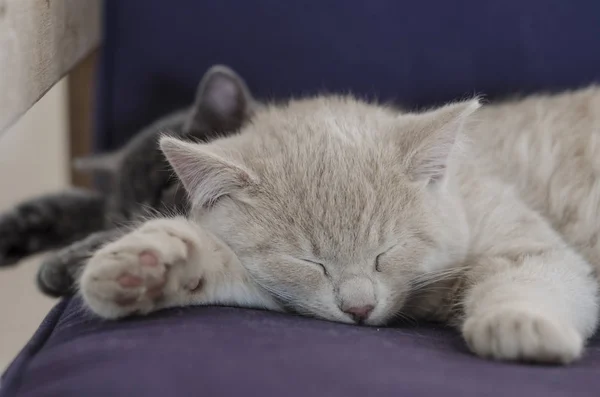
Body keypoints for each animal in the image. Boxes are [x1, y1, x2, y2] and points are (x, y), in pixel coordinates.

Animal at [78, 67, 600, 362]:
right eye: (311, 263)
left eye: (386, 252)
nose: (359, 308)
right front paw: (151, 264)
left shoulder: (523, 238)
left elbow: (537, 271)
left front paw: (519, 322)